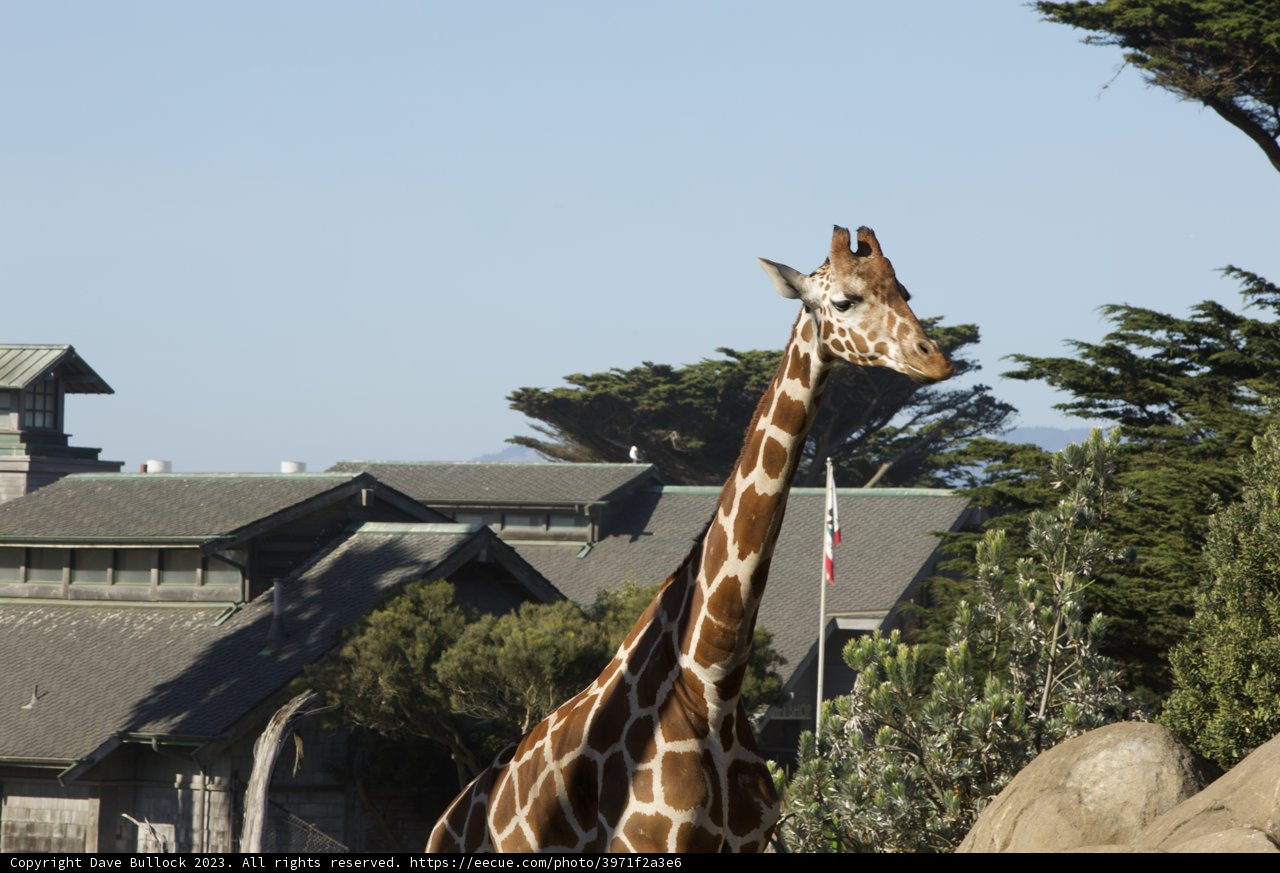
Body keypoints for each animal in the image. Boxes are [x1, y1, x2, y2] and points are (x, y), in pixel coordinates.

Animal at [428, 225, 954, 853]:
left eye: (905, 291)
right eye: (845, 301)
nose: (936, 360)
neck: (712, 686)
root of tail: (446, 817)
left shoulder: (752, 841)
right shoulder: (654, 844)